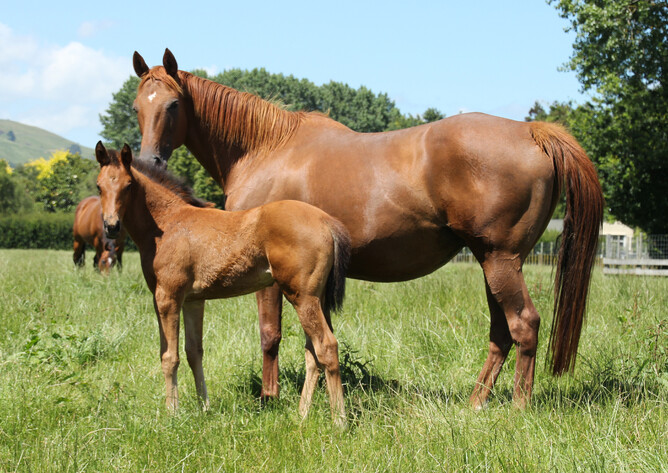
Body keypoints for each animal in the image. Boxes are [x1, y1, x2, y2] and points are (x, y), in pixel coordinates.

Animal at [94, 142, 351, 425]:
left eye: (128, 185)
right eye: (99, 186)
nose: (111, 226)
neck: (167, 224)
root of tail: (326, 221)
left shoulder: (167, 297)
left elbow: (169, 356)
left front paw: (172, 413)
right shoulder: (193, 301)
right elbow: (194, 351)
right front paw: (204, 407)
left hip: (303, 297)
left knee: (326, 346)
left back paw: (339, 421)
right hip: (315, 298)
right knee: (312, 352)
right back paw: (301, 415)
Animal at [131, 49, 604, 409]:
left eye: (173, 105)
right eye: (138, 107)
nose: (150, 161)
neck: (265, 148)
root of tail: (532, 131)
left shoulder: (268, 277)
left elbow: (270, 336)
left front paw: (270, 400)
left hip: (500, 261)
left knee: (524, 325)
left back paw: (518, 407)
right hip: (497, 264)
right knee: (501, 333)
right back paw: (475, 404)